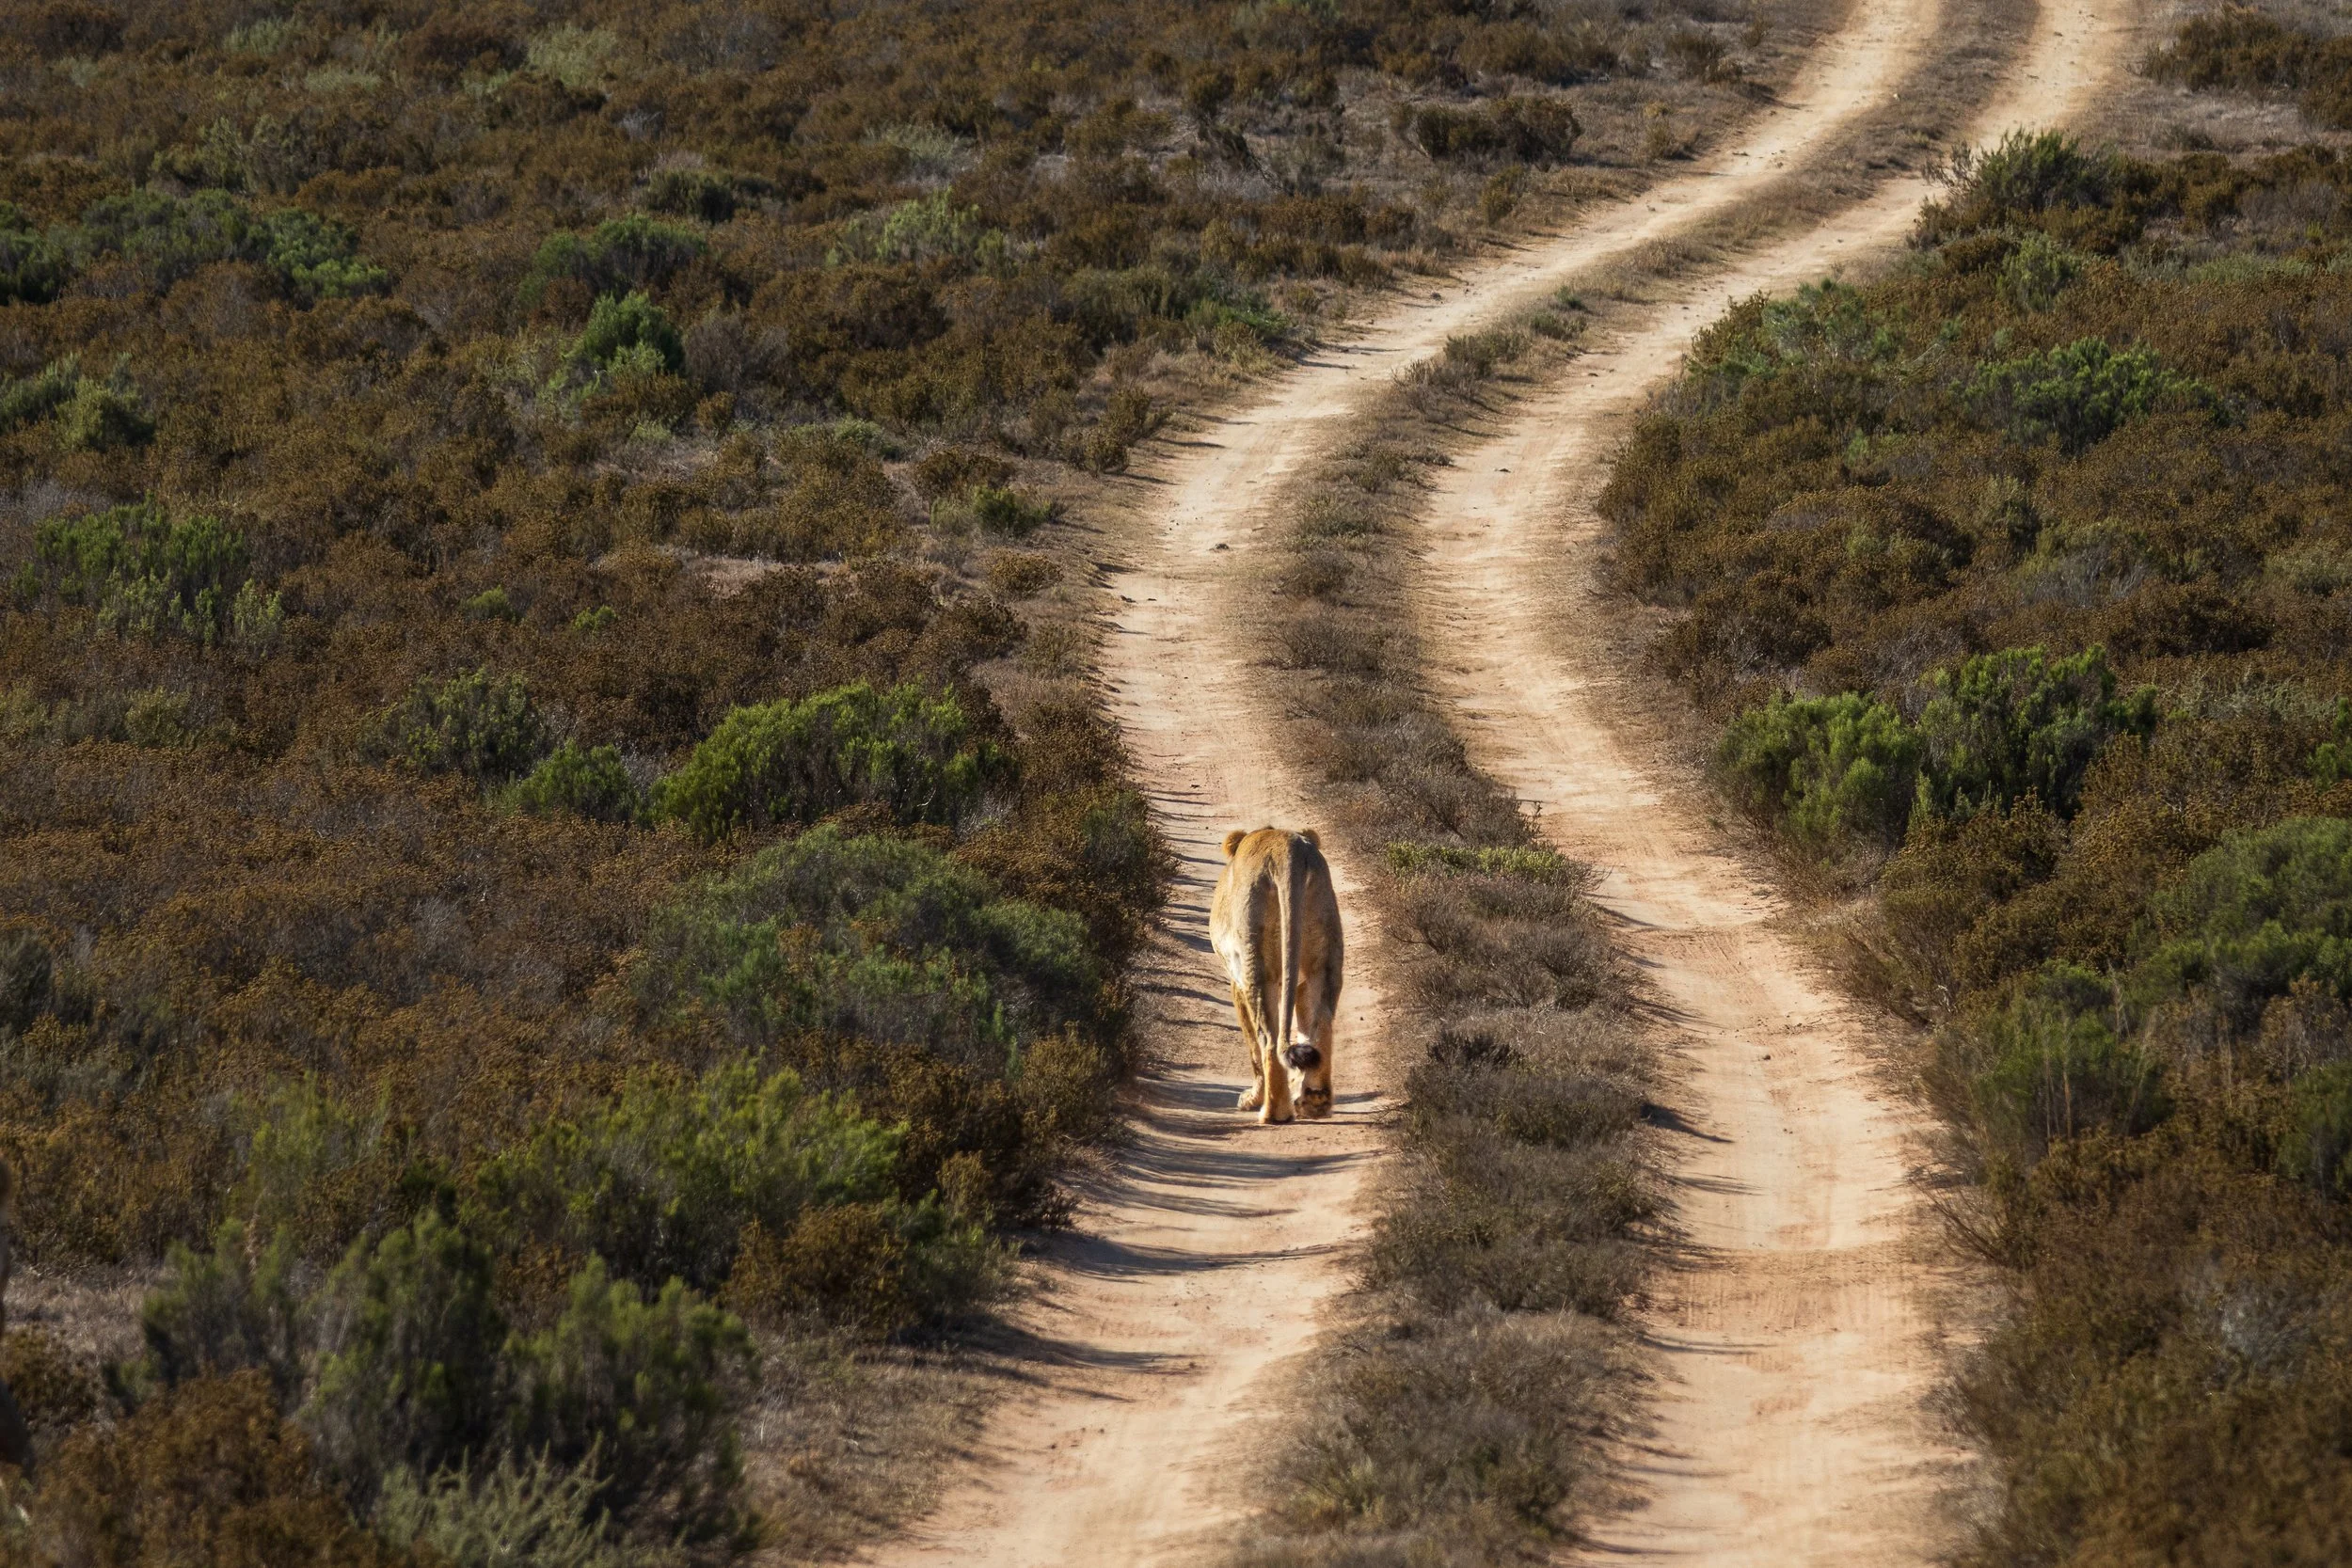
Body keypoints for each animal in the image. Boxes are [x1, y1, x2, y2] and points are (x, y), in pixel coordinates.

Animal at [1209, 827, 1343, 1124]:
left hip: (1256, 964)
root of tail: (1287, 850)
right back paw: (1314, 1102)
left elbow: (1252, 1046)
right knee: (1321, 1024)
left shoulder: (1236, 982)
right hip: (1322, 959)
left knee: (1268, 1040)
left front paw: (1251, 1099)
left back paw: (1271, 1113)